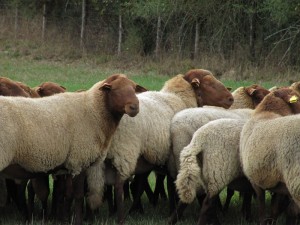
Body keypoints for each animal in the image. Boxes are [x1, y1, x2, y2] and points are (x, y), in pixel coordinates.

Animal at [85, 69, 233, 225]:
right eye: (208, 83)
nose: (230, 99)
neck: (180, 98)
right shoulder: (172, 159)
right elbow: (171, 185)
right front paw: (173, 212)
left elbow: (160, 185)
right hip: (125, 150)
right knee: (119, 185)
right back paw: (120, 218)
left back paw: (93, 216)